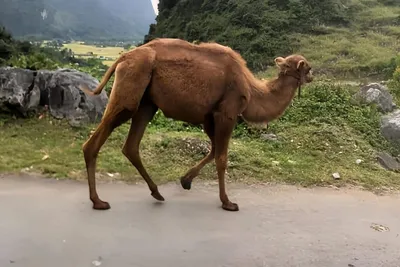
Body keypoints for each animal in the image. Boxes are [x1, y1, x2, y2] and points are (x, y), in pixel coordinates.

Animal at [80, 37, 312, 214]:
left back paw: (156, 192)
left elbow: (214, 150)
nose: (311, 75)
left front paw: (186, 180)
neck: (252, 90)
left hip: (147, 102)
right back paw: (98, 201)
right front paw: (227, 202)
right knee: (96, 141)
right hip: (132, 85)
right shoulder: (226, 112)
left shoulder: (209, 117)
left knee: (131, 145)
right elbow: (221, 157)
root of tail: (123, 57)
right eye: (307, 67)